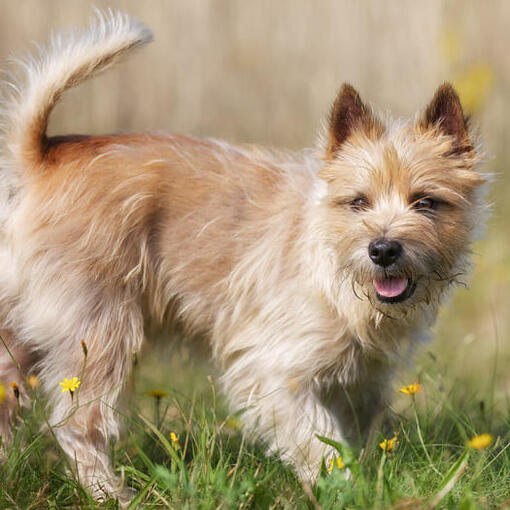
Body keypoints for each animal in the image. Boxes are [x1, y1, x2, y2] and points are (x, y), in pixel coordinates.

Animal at [0, 10, 486, 502]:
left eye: (425, 202)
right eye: (358, 202)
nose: (383, 249)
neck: (334, 268)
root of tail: (41, 157)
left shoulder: (360, 382)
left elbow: (353, 436)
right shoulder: (274, 370)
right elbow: (318, 441)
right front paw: (341, 489)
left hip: (19, 338)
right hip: (100, 334)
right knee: (79, 425)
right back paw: (111, 495)